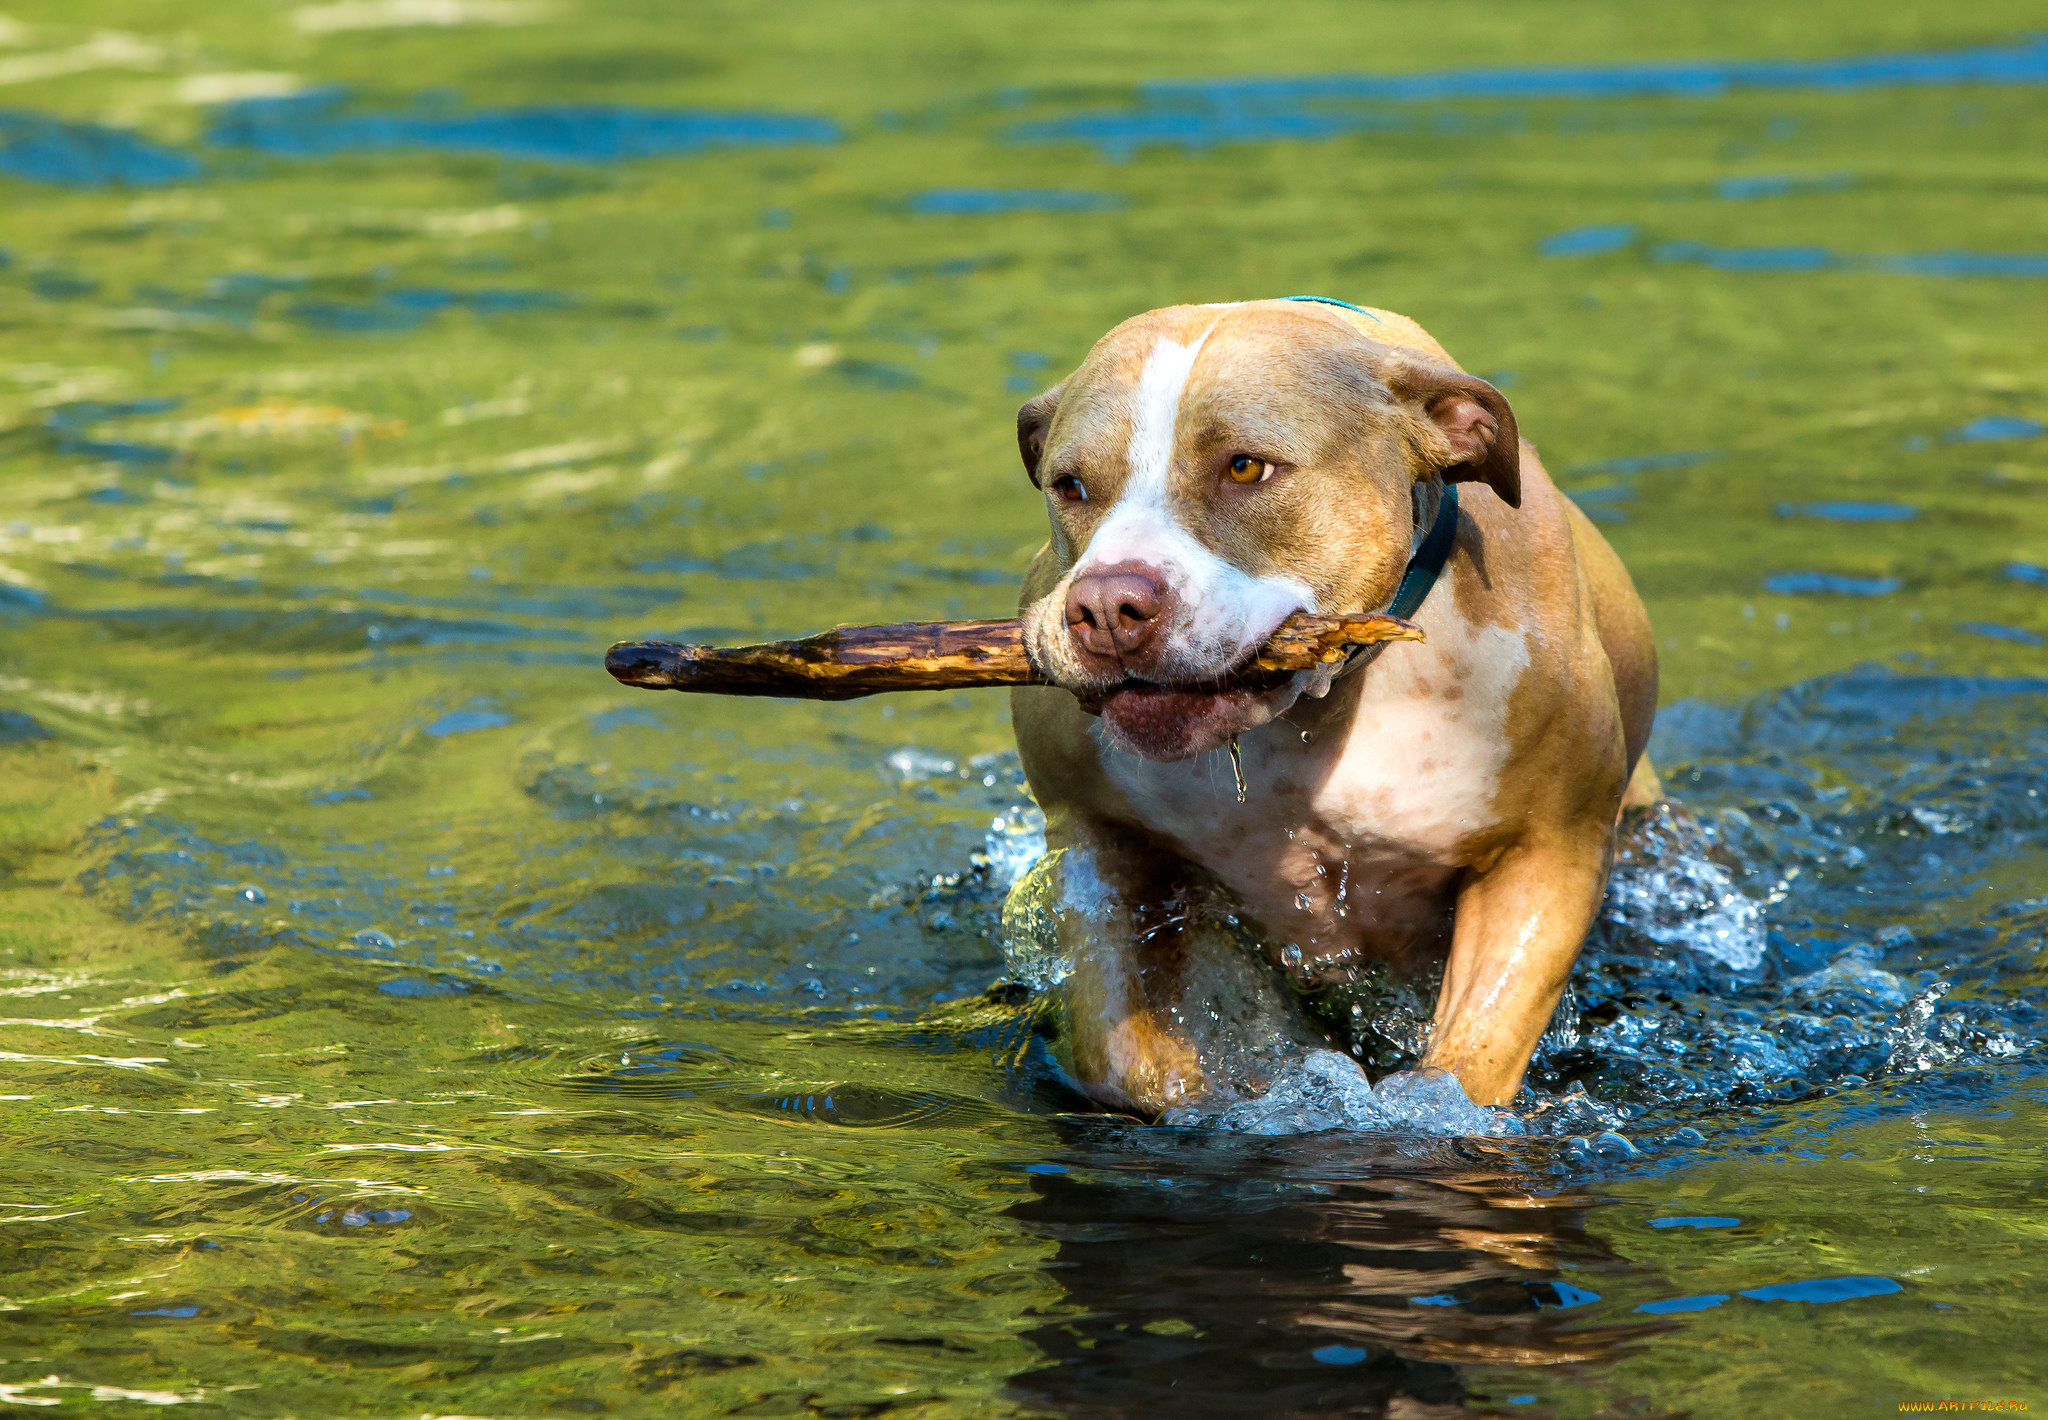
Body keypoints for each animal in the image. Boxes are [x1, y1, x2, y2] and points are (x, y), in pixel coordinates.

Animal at [1007, 299, 1662, 1114]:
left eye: (1246, 467)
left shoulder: (1547, 853)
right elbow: (1126, 1056)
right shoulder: (1096, 837)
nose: (1103, 606)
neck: (1319, 706)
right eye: (1069, 484)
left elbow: (1467, 1064)